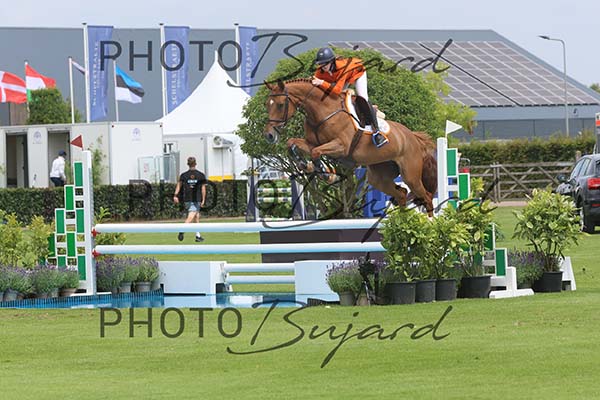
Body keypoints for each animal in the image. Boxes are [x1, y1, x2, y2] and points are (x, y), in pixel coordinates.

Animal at [263, 79, 438, 216]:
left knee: (427, 197)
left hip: (411, 175)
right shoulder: (312, 143)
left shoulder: (341, 146)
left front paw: (327, 174)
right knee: (401, 194)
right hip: (379, 176)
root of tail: (413, 137)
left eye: (280, 105)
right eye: (267, 105)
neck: (322, 111)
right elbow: (292, 143)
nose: (269, 135)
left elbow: (316, 152)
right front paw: (304, 165)